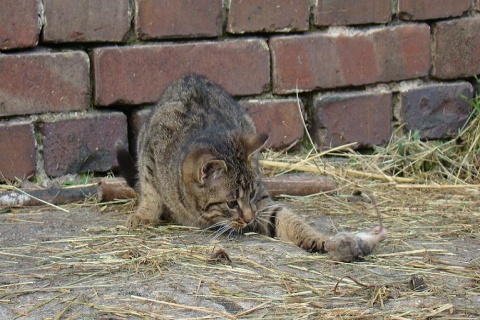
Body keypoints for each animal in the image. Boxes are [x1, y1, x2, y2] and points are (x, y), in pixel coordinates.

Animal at [121, 75, 382, 262]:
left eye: (252, 194)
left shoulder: (264, 206)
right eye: (231, 203)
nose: (248, 218)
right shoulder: (149, 153)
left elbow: (287, 218)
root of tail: (191, 76)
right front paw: (144, 215)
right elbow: (150, 190)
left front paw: (318, 239)